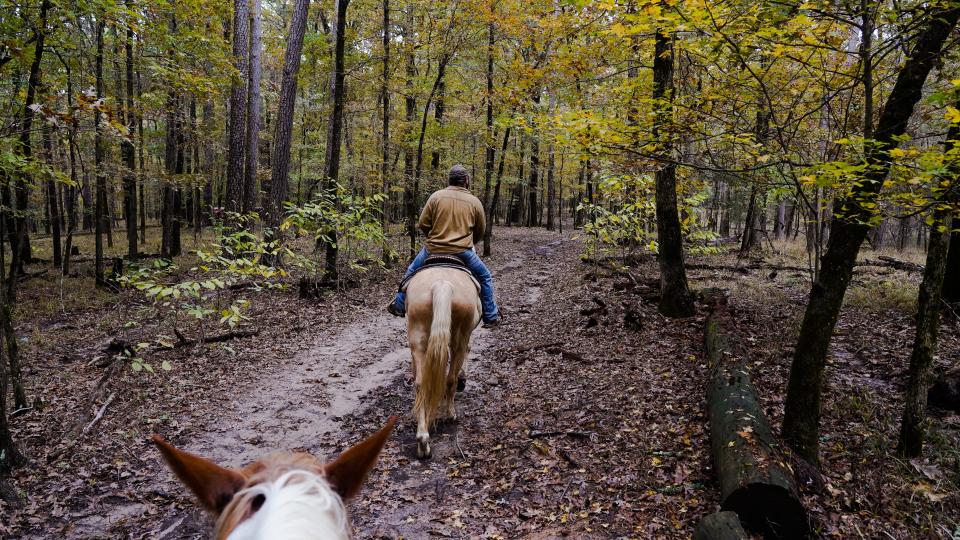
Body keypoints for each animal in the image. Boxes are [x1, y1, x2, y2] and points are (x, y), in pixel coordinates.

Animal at [404, 264, 480, 458]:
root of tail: (442, 285)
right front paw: (463, 380)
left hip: (418, 337)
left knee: (420, 384)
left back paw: (423, 442)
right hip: (459, 336)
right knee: (451, 377)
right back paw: (450, 414)